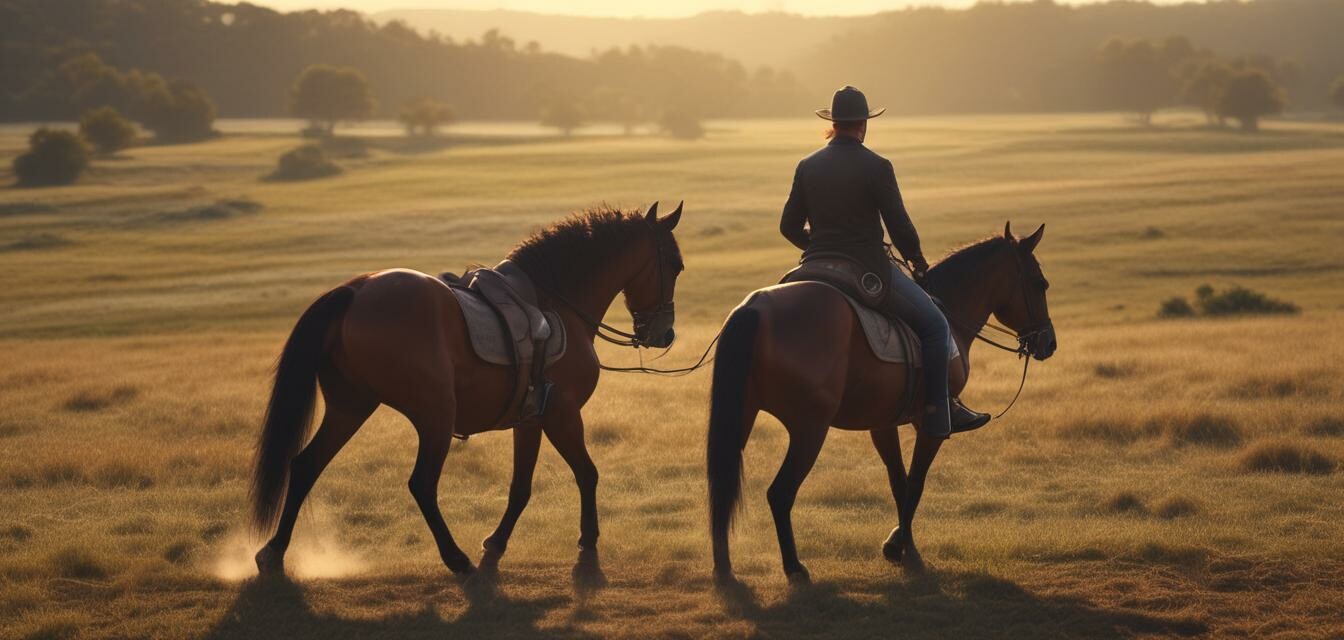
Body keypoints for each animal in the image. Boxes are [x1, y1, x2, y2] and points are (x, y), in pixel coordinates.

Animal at [247, 201, 682, 586]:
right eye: (676, 266)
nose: (665, 334)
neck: (557, 305)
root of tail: (355, 291)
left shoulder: (531, 419)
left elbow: (521, 487)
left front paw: (498, 542)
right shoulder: (563, 413)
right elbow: (587, 473)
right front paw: (588, 541)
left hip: (350, 407)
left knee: (306, 465)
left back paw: (274, 553)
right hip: (435, 414)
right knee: (422, 484)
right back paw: (456, 559)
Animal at [709, 221, 1053, 583]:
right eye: (1040, 283)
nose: (1049, 342)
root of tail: (755, 308)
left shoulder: (883, 423)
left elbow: (899, 484)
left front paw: (903, 548)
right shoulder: (932, 423)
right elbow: (915, 483)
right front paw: (899, 547)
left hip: (742, 418)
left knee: (722, 487)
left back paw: (724, 569)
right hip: (809, 429)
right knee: (780, 492)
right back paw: (794, 568)